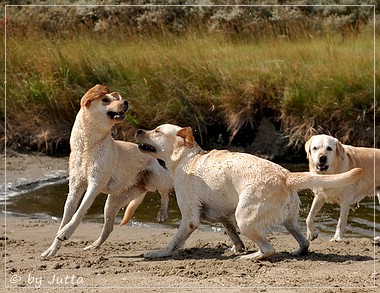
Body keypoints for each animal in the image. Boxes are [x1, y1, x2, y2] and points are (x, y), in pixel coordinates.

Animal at [41, 84, 172, 256]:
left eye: (116, 98)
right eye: (105, 99)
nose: (126, 102)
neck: (89, 146)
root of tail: (142, 186)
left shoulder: (94, 185)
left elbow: (79, 212)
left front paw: (64, 233)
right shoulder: (75, 189)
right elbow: (66, 217)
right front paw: (52, 249)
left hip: (157, 177)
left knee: (166, 191)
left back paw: (162, 213)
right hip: (112, 202)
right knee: (108, 228)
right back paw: (93, 246)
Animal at [136, 123, 362, 258]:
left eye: (157, 131)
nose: (138, 130)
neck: (186, 158)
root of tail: (286, 176)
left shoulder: (190, 218)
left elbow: (174, 242)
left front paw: (159, 253)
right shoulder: (225, 216)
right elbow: (232, 234)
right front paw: (236, 248)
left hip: (244, 218)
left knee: (269, 249)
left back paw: (250, 257)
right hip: (288, 221)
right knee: (304, 242)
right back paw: (296, 251)